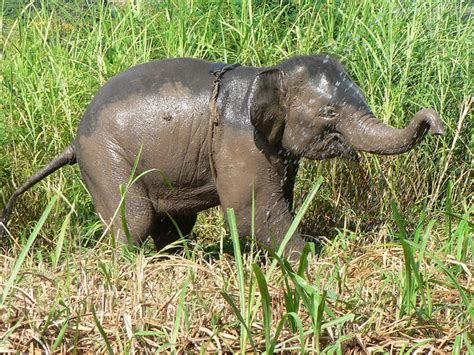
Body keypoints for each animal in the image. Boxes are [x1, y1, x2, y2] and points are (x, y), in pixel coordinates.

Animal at [0, 56, 444, 262]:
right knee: (135, 218)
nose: (437, 123)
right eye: (329, 114)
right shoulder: (241, 141)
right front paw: (310, 257)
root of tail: (73, 142)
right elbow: (252, 212)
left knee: (172, 222)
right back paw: (130, 262)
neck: (268, 74)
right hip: (105, 157)